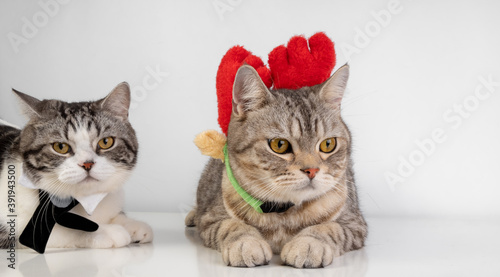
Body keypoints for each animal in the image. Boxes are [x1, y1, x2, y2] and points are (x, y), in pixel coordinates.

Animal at [0, 82, 152, 250]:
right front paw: (108, 231)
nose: (87, 163)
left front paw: (131, 224)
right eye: (60, 147)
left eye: (106, 142)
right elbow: (60, 231)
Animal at [188, 32, 368, 268]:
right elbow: (231, 226)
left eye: (328, 144)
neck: (283, 215)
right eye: (279, 145)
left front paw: (309, 243)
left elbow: (328, 228)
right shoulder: (211, 218)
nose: (312, 170)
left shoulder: (354, 223)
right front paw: (246, 243)